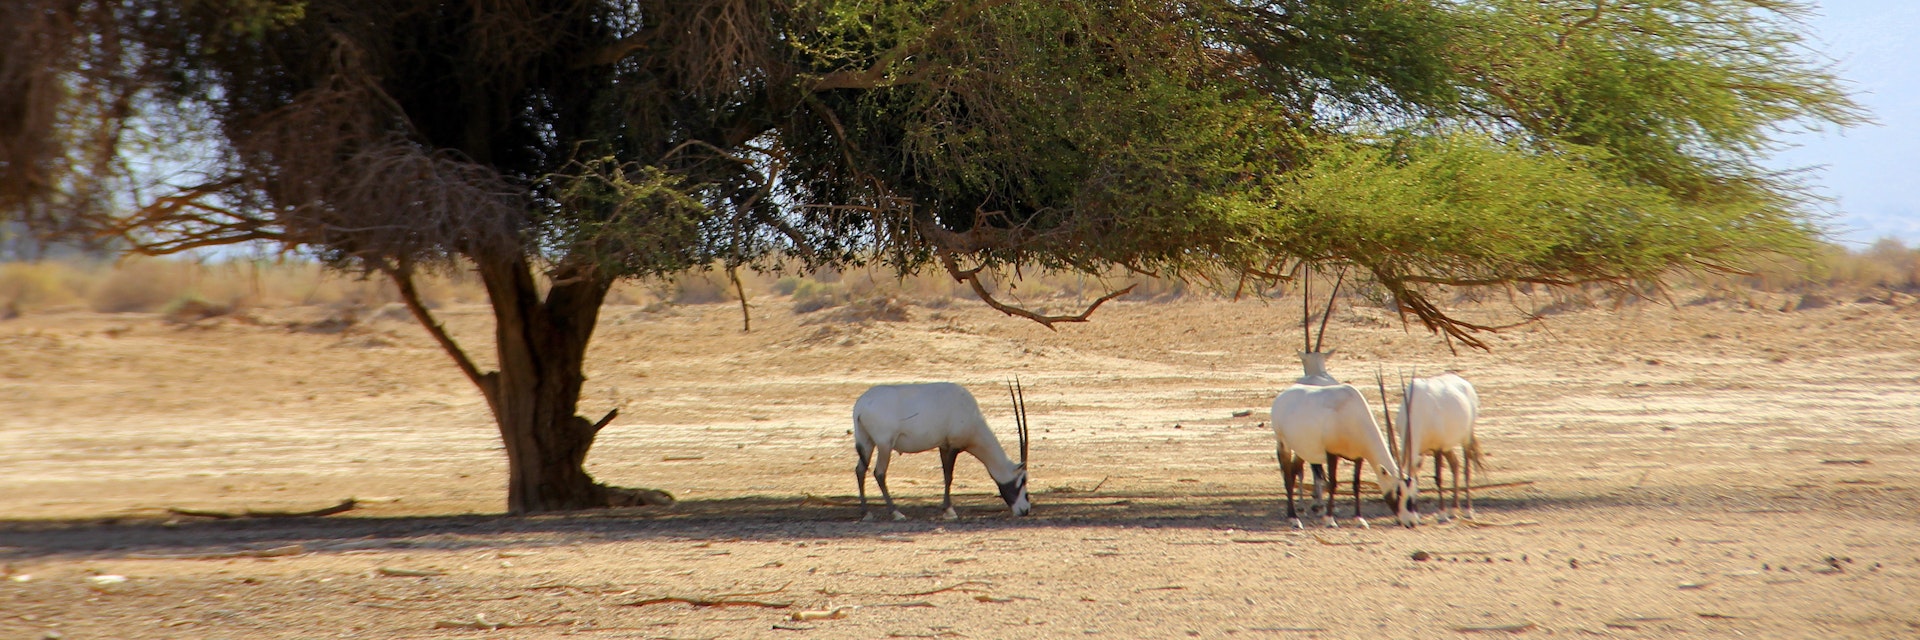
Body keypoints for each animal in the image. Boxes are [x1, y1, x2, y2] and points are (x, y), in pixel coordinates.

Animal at [851, 381, 1032, 521]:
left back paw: (866, 513)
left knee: (860, 470)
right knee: (879, 473)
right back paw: (896, 513)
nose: (1025, 510)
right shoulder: (953, 446)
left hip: (867, 443)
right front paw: (949, 511)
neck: (972, 416)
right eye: (1023, 480)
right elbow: (949, 476)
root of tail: (860, 407)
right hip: (885, 445)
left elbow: (946, 475)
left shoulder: (943, 446)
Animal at [1394, 372, 1484, 522]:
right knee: (1455, 465)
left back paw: (1468, 510)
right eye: (1397, 493)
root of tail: (1465, 383)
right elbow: (1416, 477)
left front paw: (1442, 514)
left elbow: (1438, 478)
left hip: (1464, 438)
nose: (1404, 520)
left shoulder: (1437, 448)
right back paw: (1454, 509)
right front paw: (1417, 515)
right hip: (1448, 446)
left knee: (1466, 469)